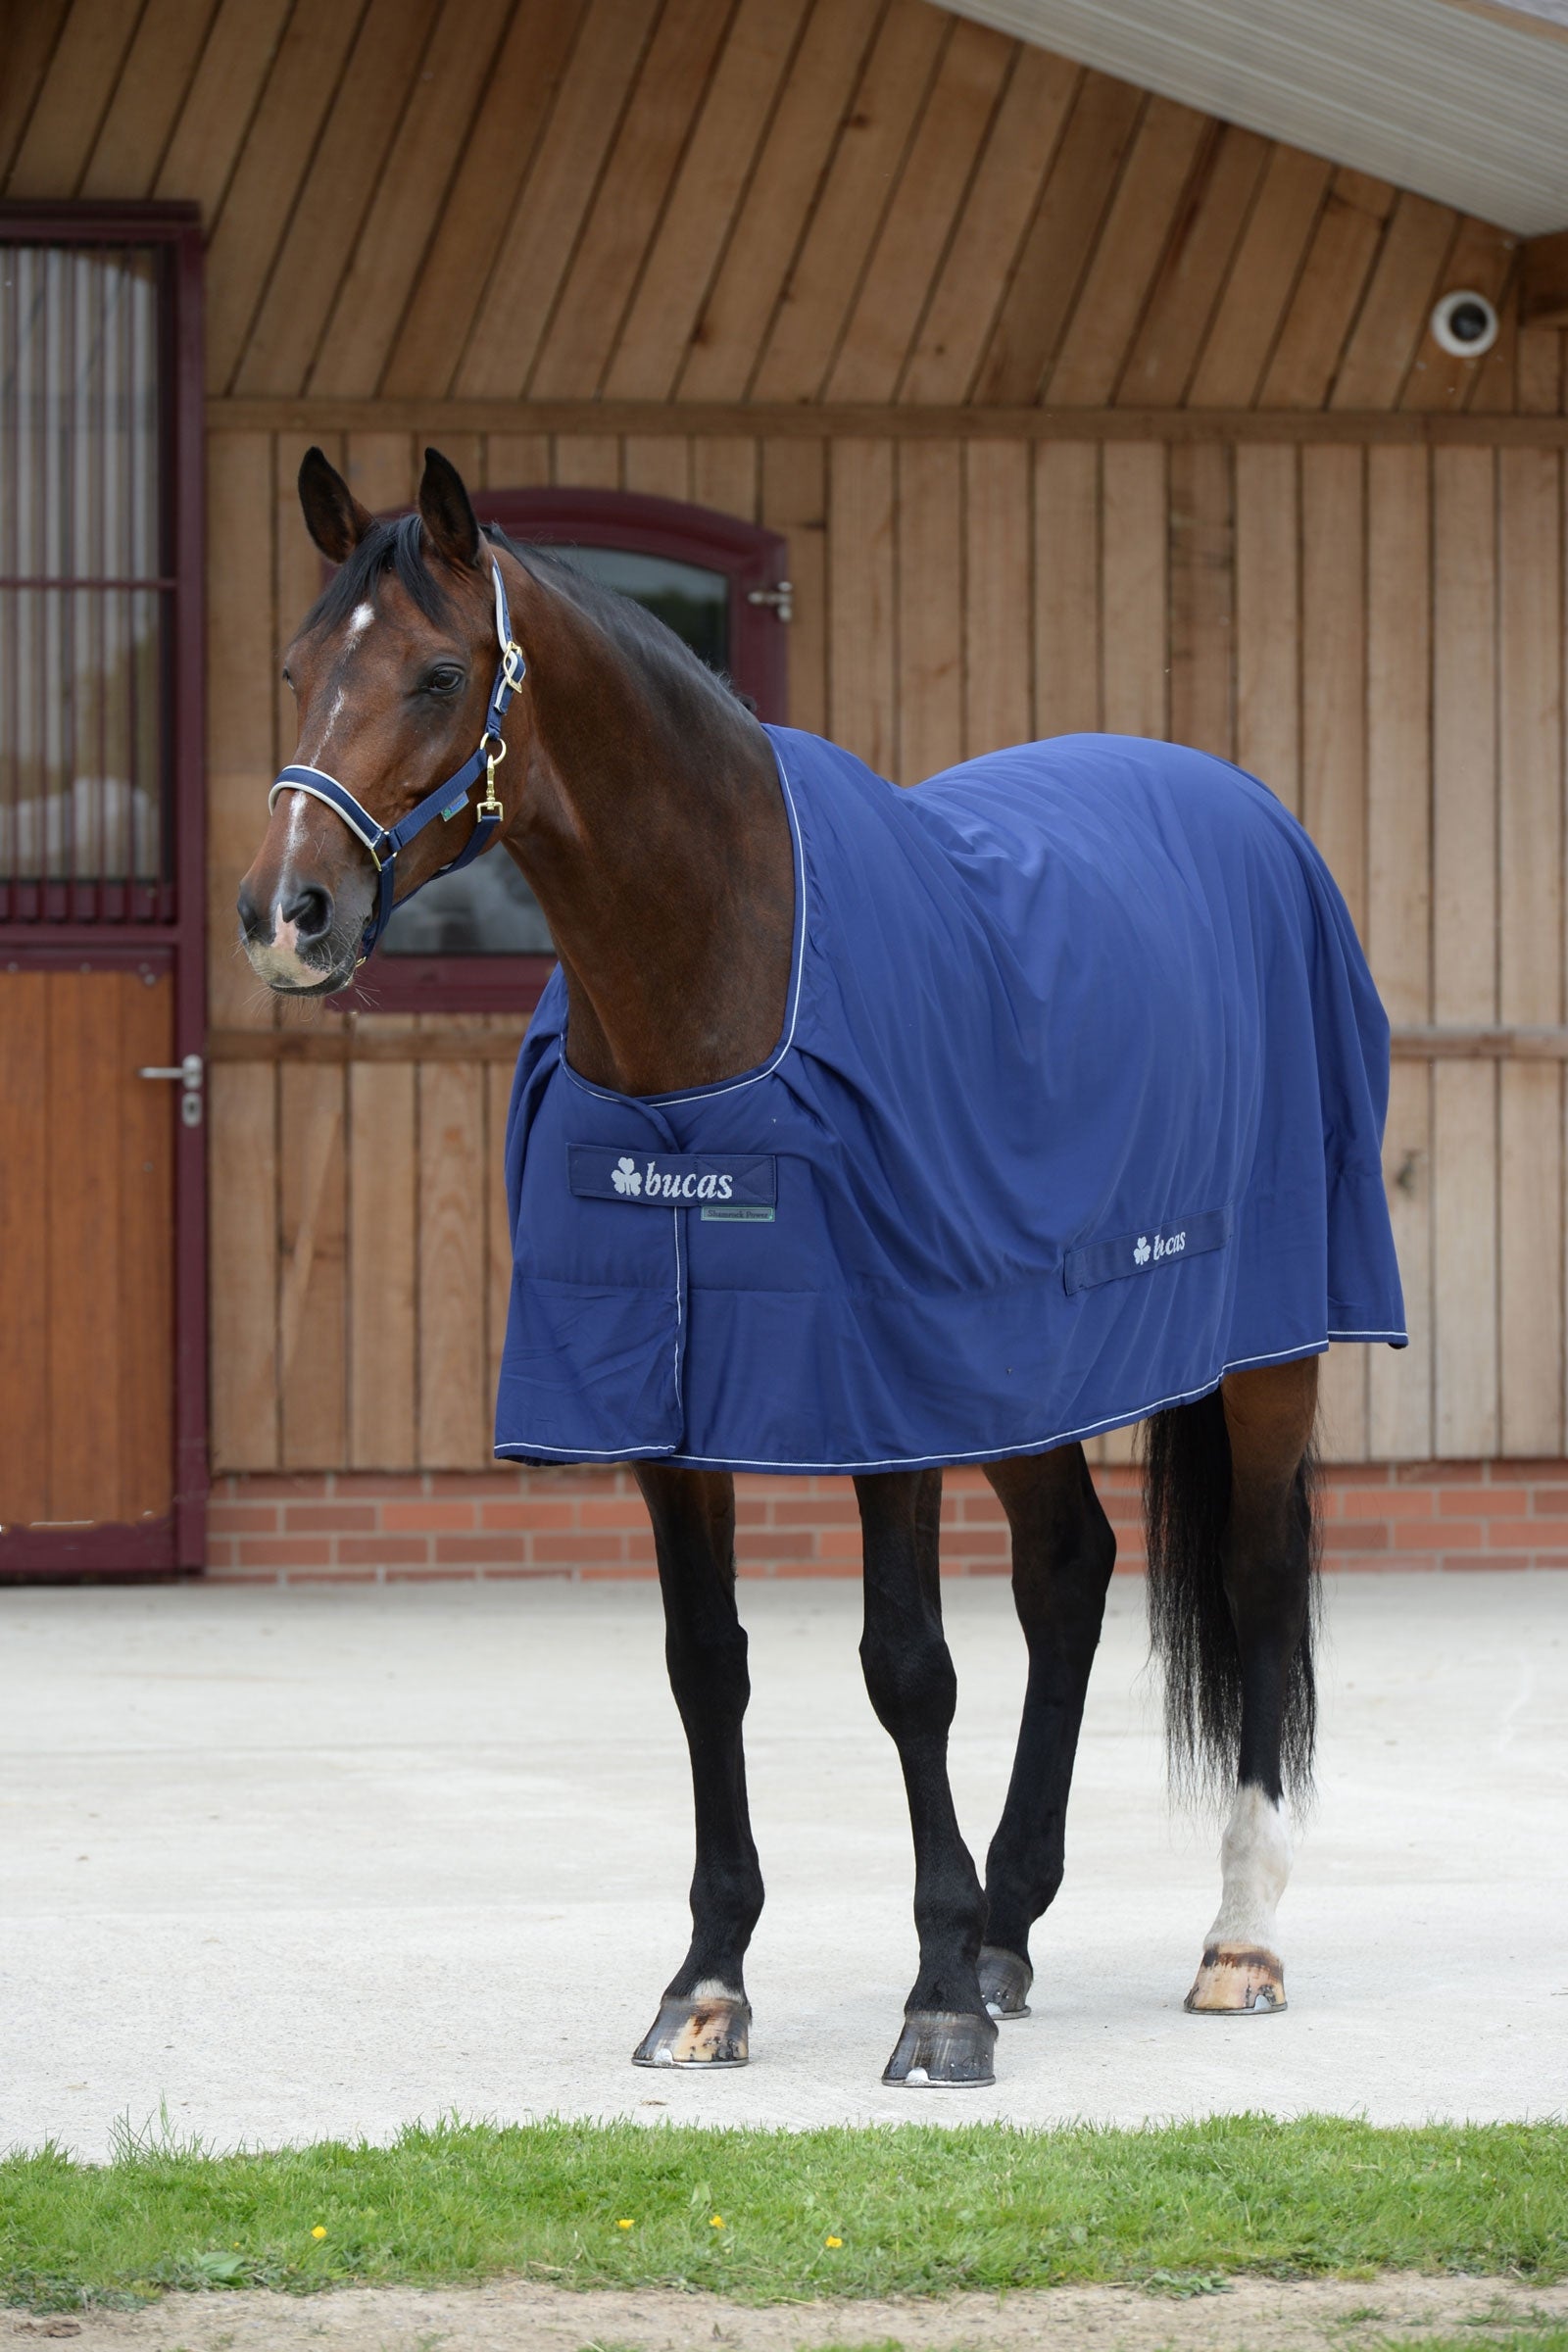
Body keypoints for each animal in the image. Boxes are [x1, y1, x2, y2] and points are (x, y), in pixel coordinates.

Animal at [238, 446, 1404, 2090]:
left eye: (439, 673)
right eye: (294, 668)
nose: (287, 916)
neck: (718, 996)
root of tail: (1245, 808)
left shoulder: (878, 1391)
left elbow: (906, 1666)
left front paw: (934, 2004)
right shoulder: (668, 1407)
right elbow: (704, 1667)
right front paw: (712, 1981)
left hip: (1267, 1356)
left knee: (1250, 1587)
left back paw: (1235, 1942)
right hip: (1024, 1368)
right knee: (1069, 1573)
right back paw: (1013, 1924)